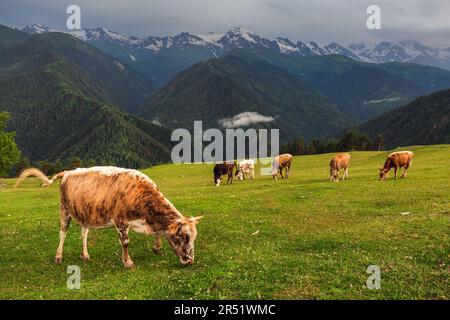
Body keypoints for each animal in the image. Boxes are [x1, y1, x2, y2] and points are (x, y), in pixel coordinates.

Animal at [14, 166, 203, 268]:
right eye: (183, 236)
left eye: (193, 237)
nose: (190, 261)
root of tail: (68, 172)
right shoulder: (121, 221)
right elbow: (125, 242)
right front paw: (128, 262)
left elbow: (158, 232)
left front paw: (156, 248)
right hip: (64, 211)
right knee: (62, 233)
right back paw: (58, 257)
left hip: (85, 214)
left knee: (84, 233)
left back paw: (85, 255)